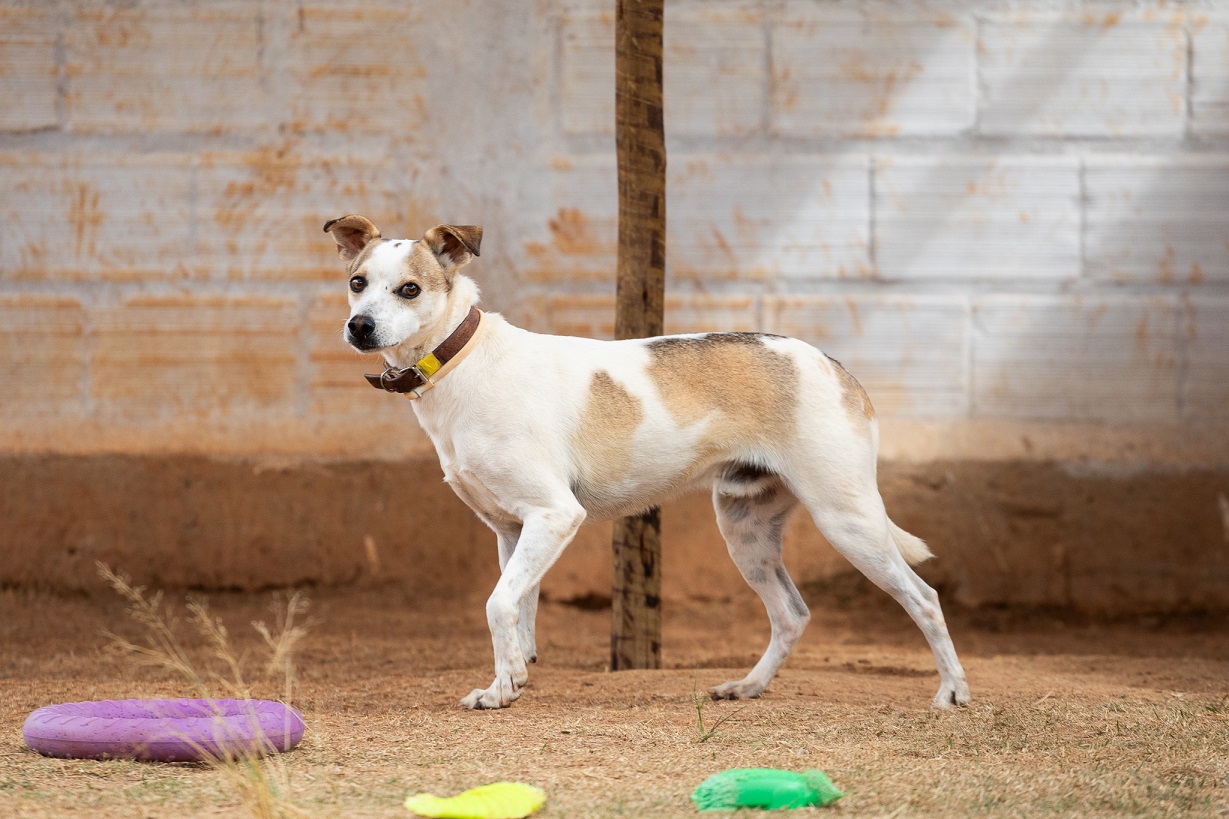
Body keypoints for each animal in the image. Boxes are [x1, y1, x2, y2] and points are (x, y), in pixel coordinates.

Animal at [324, 215, 968, 708]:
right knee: (791, 614)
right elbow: (518, 610)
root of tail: (836, 367)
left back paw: (952, 693)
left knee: (924, 599)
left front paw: (501, 691)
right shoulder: (513, 529)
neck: (462, 361)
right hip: (747, 531)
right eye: (357, 283)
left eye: (410, 290)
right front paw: (514, 678)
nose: (359, 326)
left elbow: (498, 603)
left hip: (846, 519)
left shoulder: (555, 516)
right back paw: (748, 688)